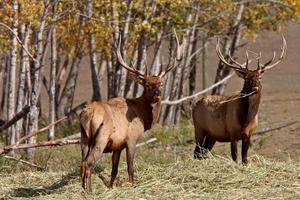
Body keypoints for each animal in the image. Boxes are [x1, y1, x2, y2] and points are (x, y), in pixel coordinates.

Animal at [79, 34, 183, 192]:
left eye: (161, 83)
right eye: (147, 84)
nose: (157, 94)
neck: (143, 117)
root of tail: (88, 114)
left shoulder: (117, 146)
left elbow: (114, 170)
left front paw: (111, 187)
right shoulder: (132, 139)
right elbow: (130, 168)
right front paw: (133, 186)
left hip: (84, 138)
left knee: (82, 163)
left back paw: (84, 190)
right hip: (101, 137)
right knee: (88, 163)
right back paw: (89, 192)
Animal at [191, 36, 288, 164]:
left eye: (259, 77)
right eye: (246, 78)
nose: (255, 88)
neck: (246, 119)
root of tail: (194, 105)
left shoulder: (249, 134)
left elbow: (244, 159)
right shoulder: (232, 133)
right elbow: (235, 158)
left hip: (212, 135)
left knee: (202, 152)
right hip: (199, 128)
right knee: (196, 152)